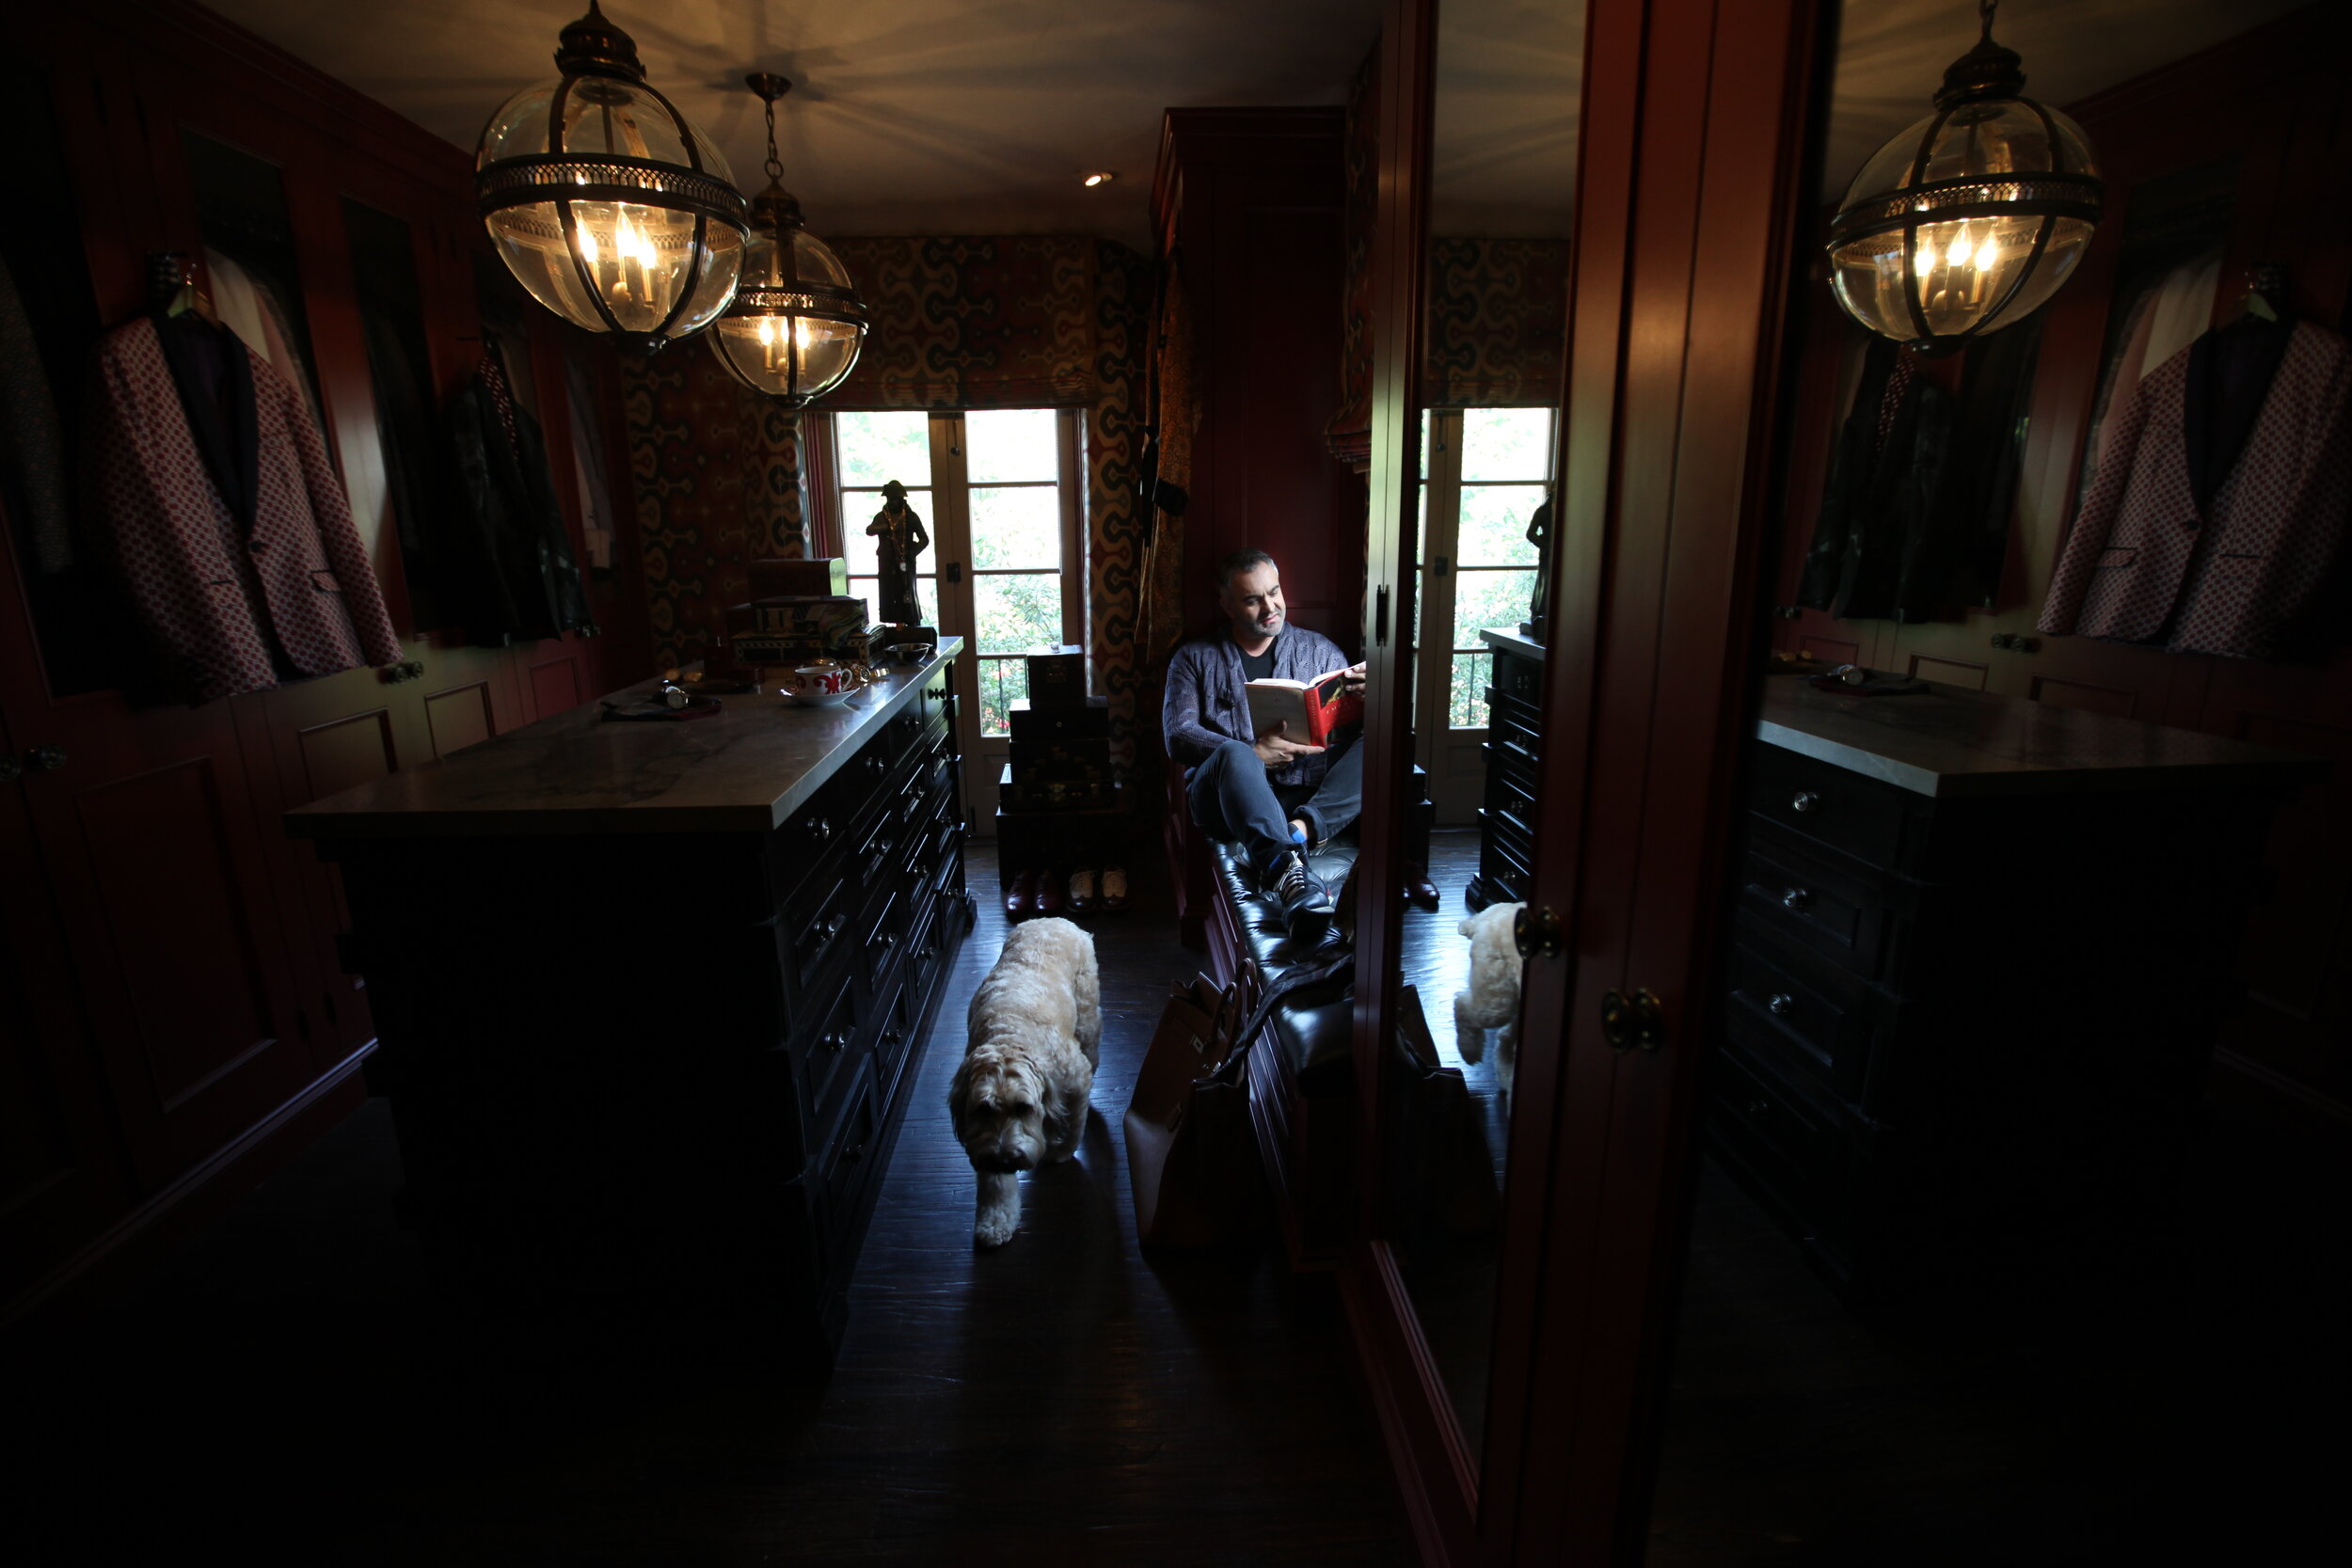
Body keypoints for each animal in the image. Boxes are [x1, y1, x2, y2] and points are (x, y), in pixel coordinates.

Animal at [946, 921, 1101, 1250]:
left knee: (1092, 1046)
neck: (1010, 1037)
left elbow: (1074, 1123)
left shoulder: (1075, 1079)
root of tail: (1053, 920)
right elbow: (992, 1182)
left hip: (1087, 1012)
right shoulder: (985, 1137)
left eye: (1023, 1107)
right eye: (984, 1109)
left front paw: (1062, 1151)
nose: (1005, 1160)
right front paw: (994, 1219)